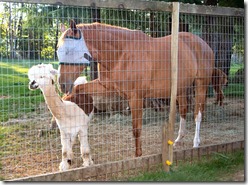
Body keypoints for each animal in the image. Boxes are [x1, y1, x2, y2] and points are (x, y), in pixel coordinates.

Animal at [57, 20, 214, 157]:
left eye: (69, 50)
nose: (62, 84)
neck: (121, 54)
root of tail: (203, 43)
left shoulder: (136, 97)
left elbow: (136, 129)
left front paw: (138, 155)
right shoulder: (107, 87)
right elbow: (78, 88)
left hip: (201, 84)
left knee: (197, 114)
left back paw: (196, 143)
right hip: (180, 88)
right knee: (183, 111)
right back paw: (178, 140)